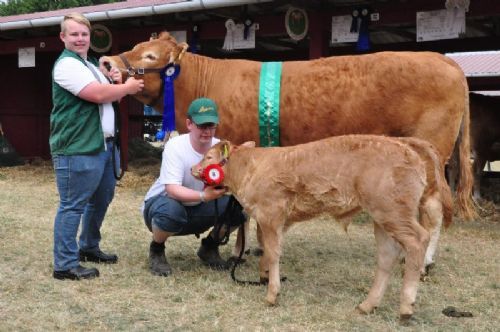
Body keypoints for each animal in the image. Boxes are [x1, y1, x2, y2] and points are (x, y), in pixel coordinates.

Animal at [99, 32, 474, 222]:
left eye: (151, 56)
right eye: (135, 46)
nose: (106, 61)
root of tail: (445, 60)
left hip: (430, 152)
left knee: (436, 207)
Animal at [191, 133, 454, 322]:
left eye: (209, 156)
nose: (194, 169)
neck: (251, 167)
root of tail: (405, 145)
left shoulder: (271, 214)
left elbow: (273, 252)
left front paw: (272, 294)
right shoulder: (274, 220)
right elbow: (267, 250)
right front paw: (264, 276)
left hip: (394, 212)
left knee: (419, 239)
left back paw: (406, 305)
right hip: (382, 218)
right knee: (387, 256)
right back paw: (367, 305)